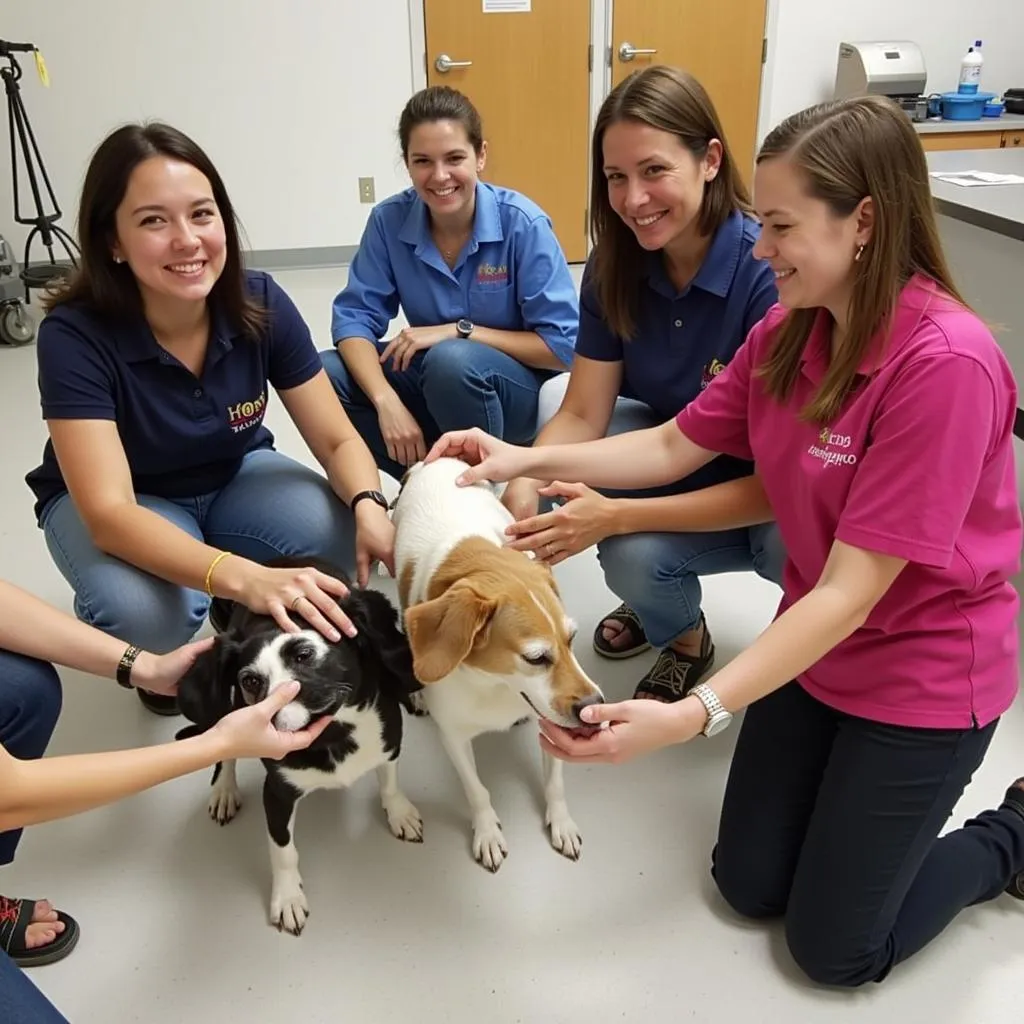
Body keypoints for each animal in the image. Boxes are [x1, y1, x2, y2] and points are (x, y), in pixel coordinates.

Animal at [176, 565, 419, 933]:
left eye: (304, 655)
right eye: (250, 681)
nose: (272, 718)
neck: (332, 736)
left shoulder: (389, 741)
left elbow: (390, 783)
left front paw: (400, 813)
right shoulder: (277, 792)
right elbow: (283, 850)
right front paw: (288, 897)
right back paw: (224, 789)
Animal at [389, 458, 598, 872]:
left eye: (572, 639)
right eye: (536, 658)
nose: (593, 706)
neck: (495, 686)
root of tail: (437, 460)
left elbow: (555, 782)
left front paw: (561, 822)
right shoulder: (453, 736)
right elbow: (476, 790)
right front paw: (486, 832)